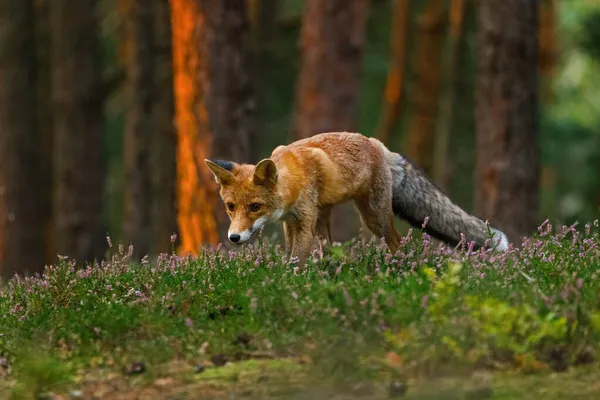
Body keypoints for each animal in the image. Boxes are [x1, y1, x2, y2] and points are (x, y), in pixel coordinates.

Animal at [204, 131, 508, 266]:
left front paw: (288, 282)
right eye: (231, 207)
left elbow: (295, 260)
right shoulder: (291, 223)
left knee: (397, 241)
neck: (294, 179)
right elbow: (290, 254)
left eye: (255, 207)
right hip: (324, 217)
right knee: (328, 247)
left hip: (373, 217)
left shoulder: (303, 222)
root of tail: (378, 144)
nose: (233, 238)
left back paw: (402, 266)